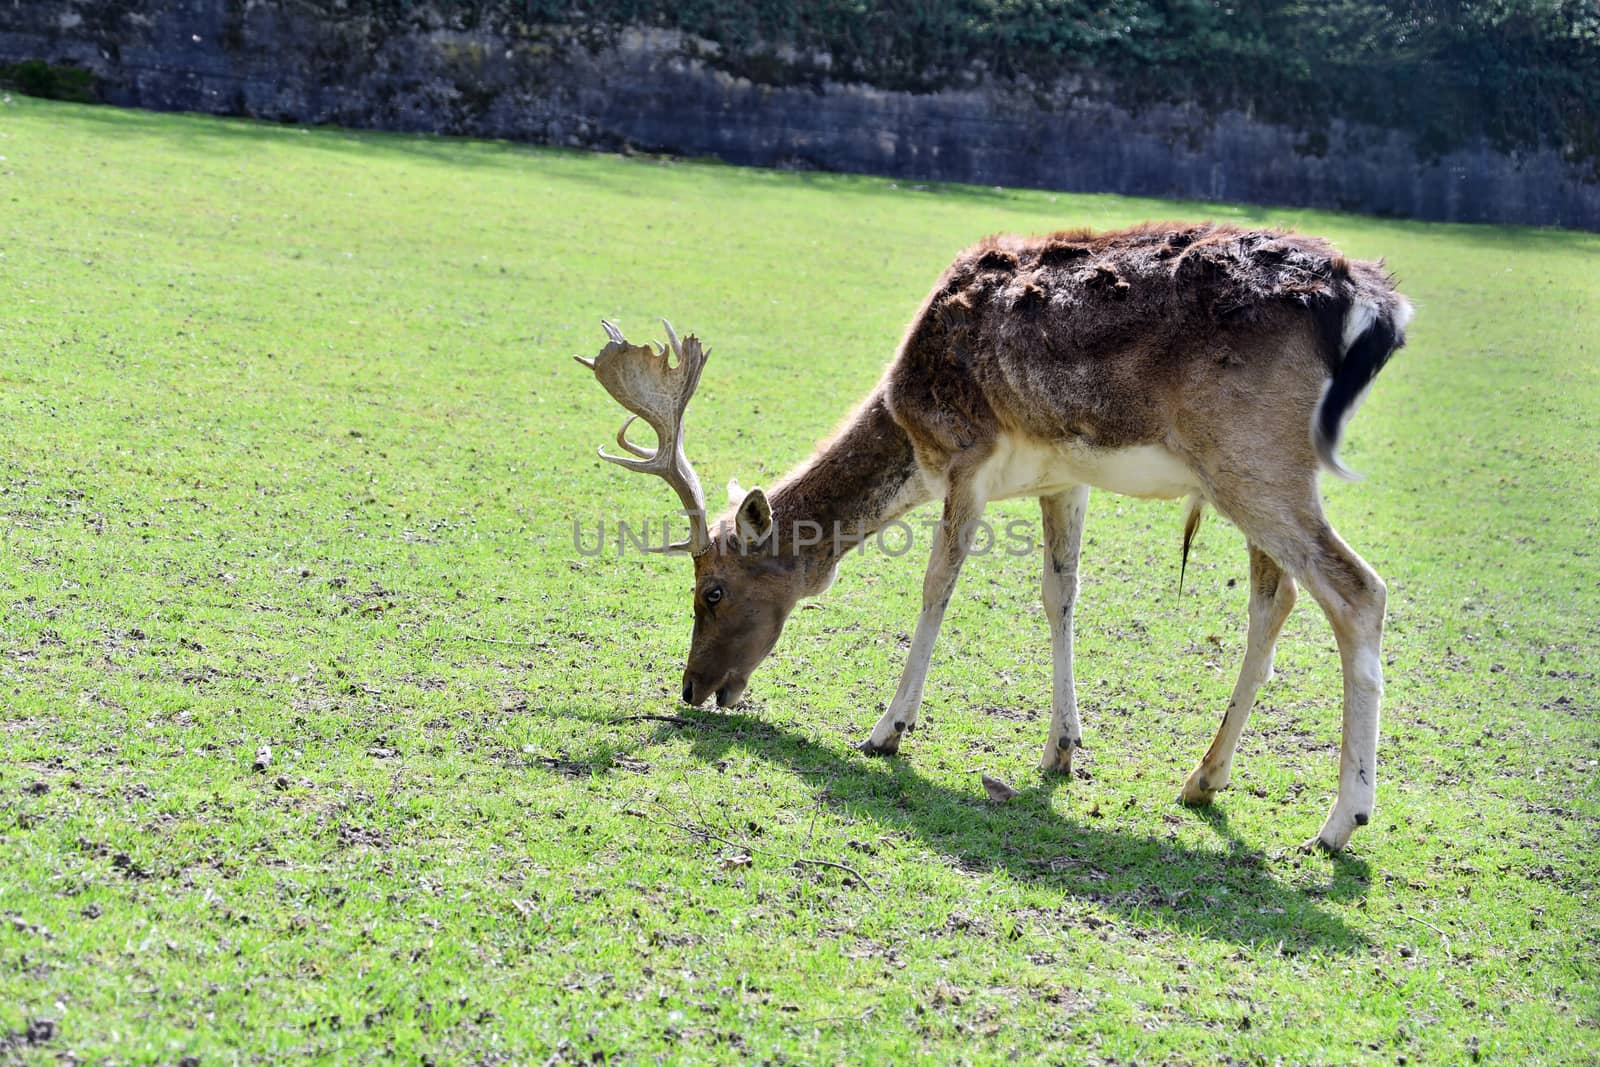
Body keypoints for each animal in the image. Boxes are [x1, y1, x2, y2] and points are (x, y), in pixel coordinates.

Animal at [579, 220, 1414, 857]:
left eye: (711, 590)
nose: (691, 687)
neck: (908, 419)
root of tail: (1374, 304)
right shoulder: (1062, 476)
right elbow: (1060, 594)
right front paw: (1062, 749)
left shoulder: (966, 458)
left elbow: (935, 588)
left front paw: (886, 729)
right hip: (1248, 474)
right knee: (1275, 600)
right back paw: (1203, 779)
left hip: (1253, 458)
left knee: (1358, 590)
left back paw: (1340, 821)